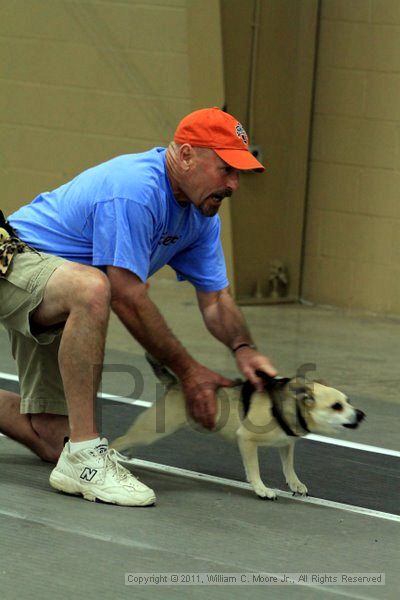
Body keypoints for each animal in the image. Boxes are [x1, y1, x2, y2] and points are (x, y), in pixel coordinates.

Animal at [110, 354, 366, 500]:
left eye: (348, 401)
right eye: (336, 406)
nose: (361, 414)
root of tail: (175, 383)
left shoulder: (286, 443)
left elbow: (288, 466)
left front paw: (295, 483)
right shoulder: (247, 440)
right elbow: (254, 470)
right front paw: (262, 489)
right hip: (154, 428)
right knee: (117, 440)